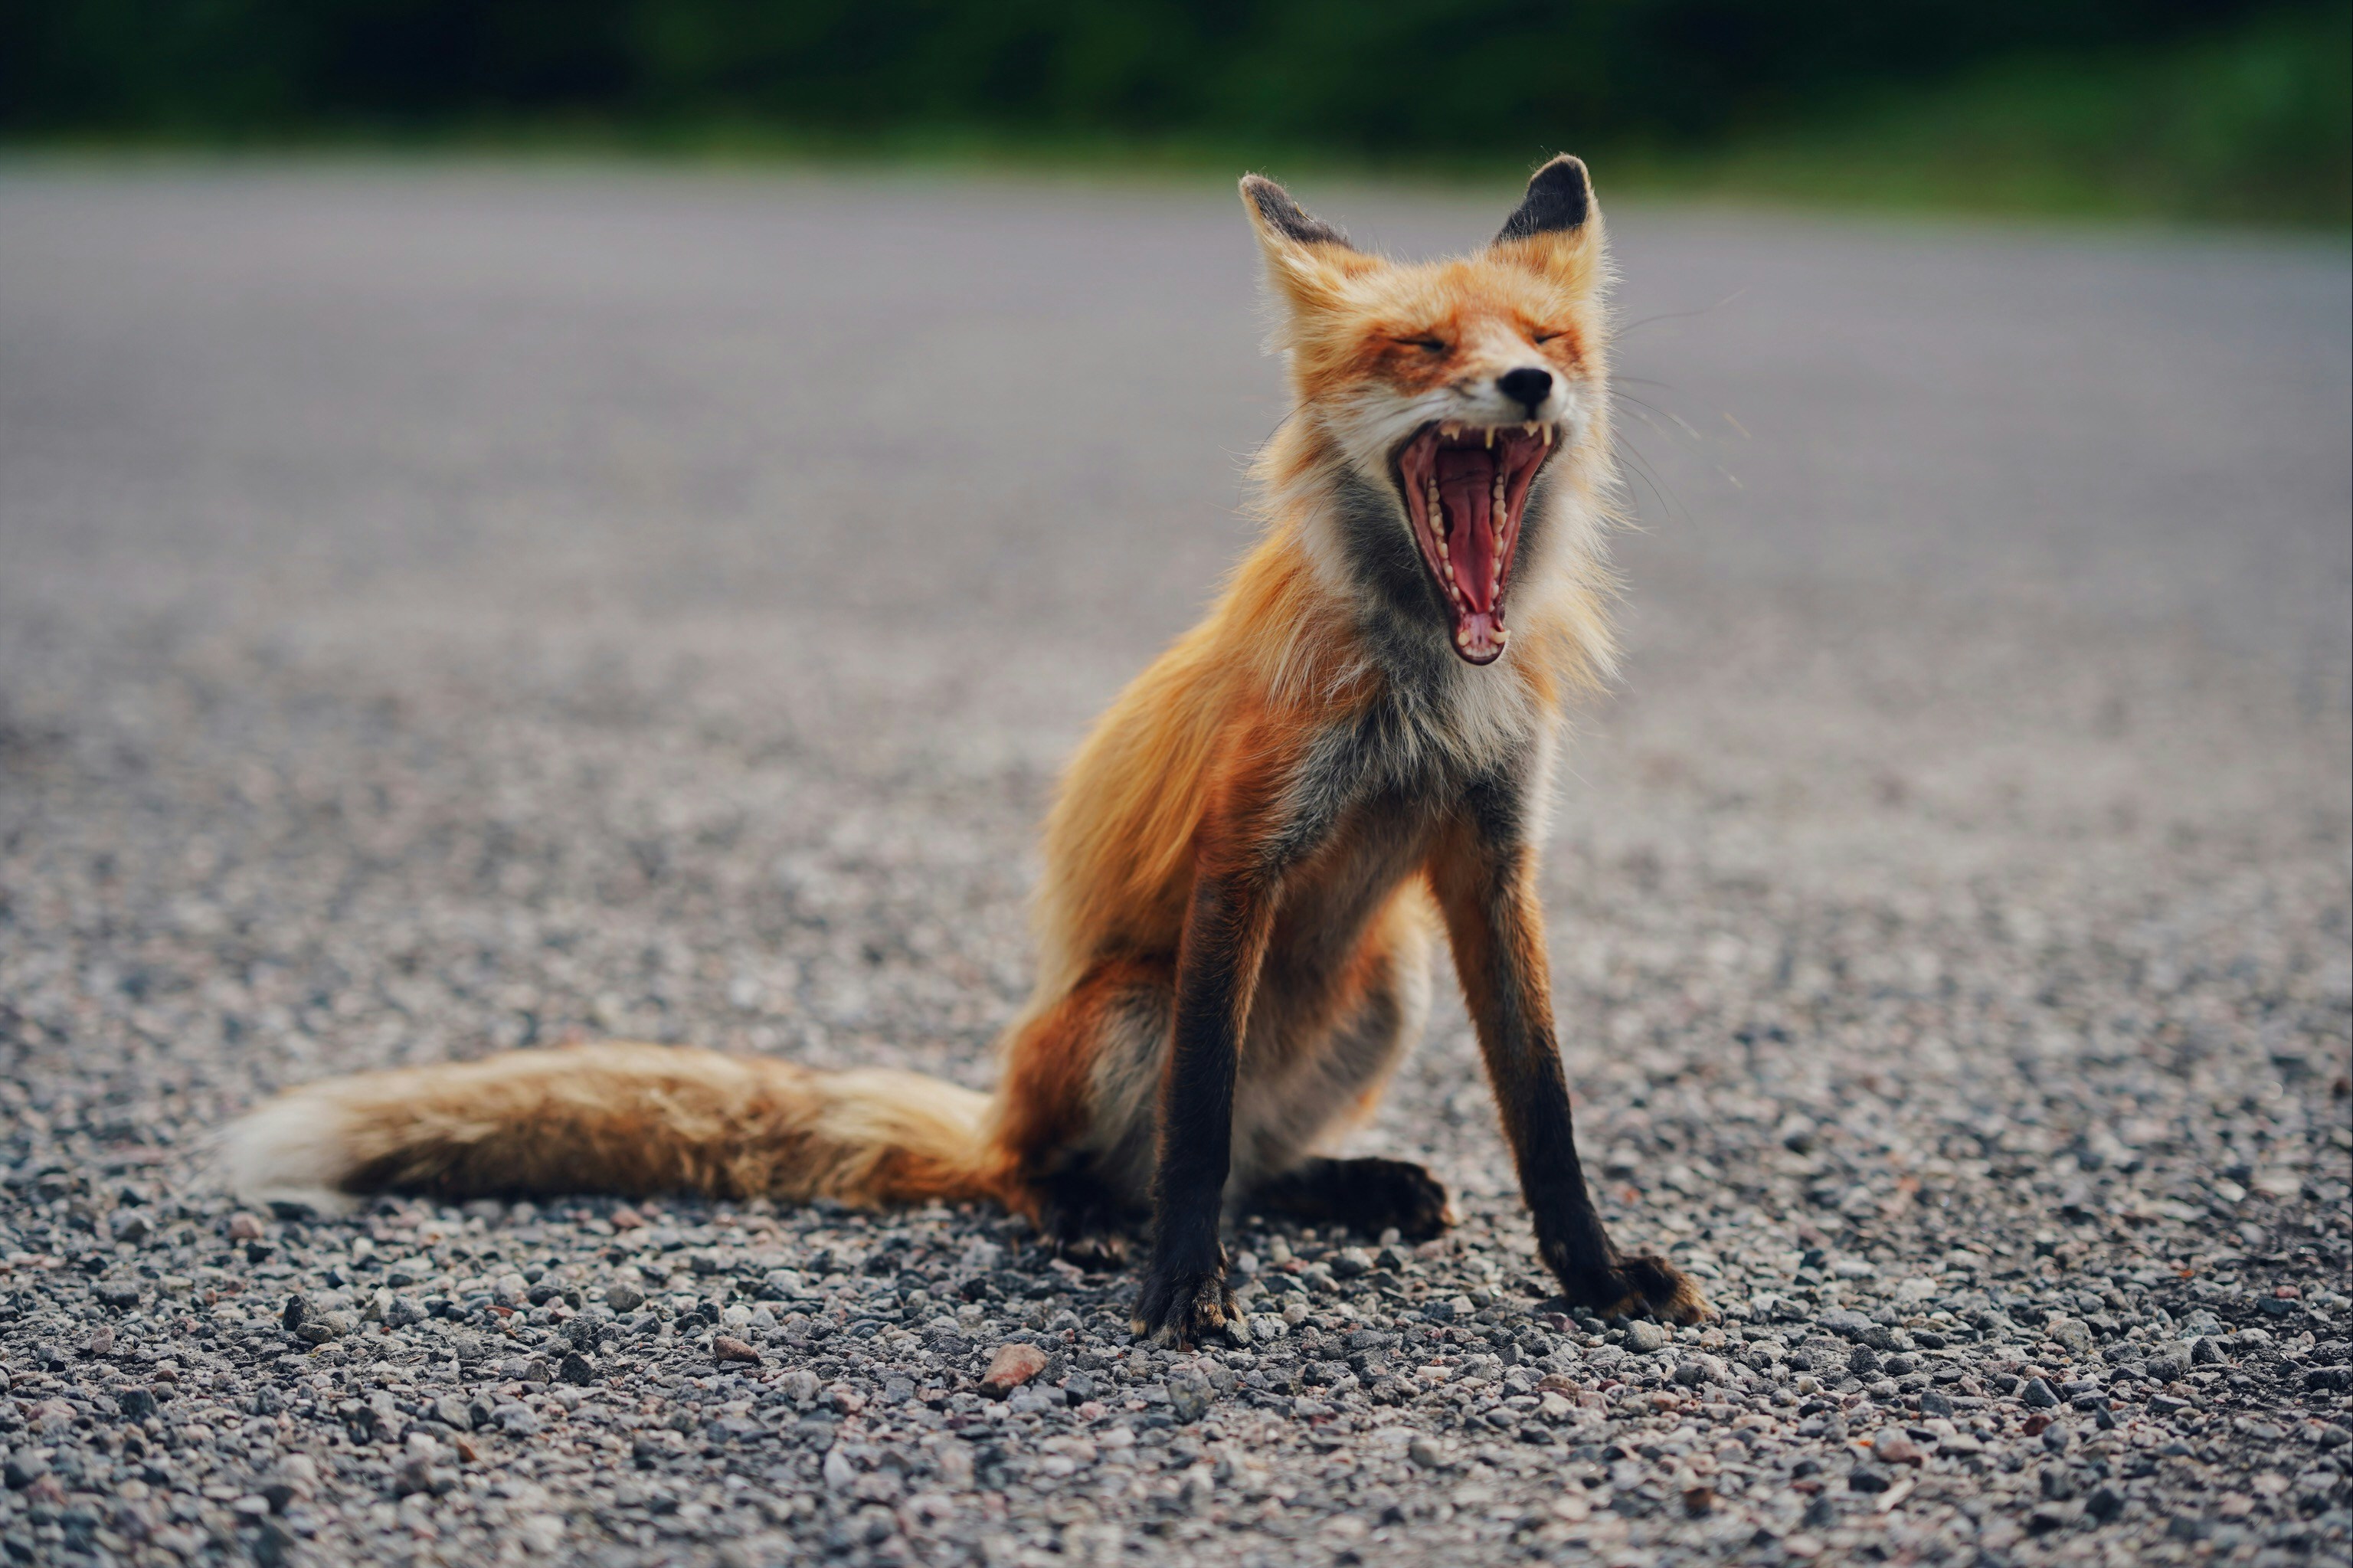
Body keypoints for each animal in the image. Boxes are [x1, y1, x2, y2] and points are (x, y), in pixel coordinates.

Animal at [222, 156, 1707, 1346]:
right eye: (1420, 345)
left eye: (1548, 336)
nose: (1527, 383)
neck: (1423, 683)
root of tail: (993, 1109)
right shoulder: (1240, 856)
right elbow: (1198, 1123)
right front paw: (1183, 1284)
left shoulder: (1492, 861)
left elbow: (1545, 1111)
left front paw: (1595, 1276)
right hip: (1132, 1010)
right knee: (1120, 1159)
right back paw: (1081, 1209)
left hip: (1384, 980)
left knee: (1255, 1160)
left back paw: (1345, 1184)